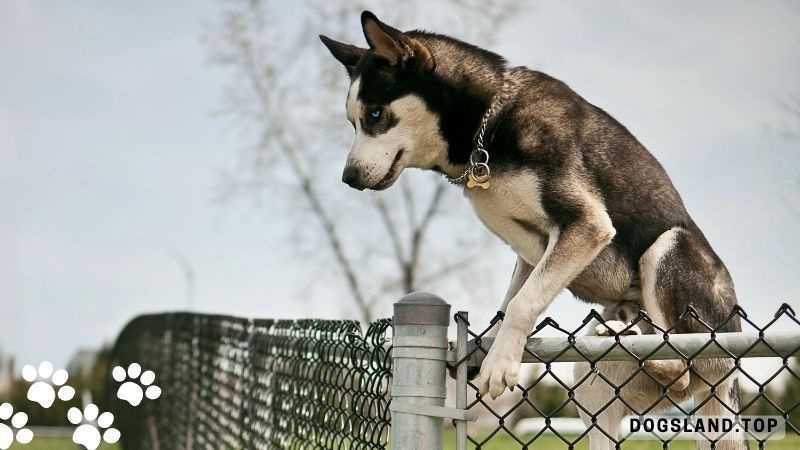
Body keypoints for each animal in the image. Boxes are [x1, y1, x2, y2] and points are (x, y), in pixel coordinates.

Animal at [324, 11, 744, 450]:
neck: (489, 125)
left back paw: (624, 335)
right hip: (593, 384)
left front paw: (500, 363)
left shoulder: (586, 223)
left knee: (680, 365)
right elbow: (509, 301)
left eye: (375, 115)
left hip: (670, 250)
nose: (348, 177)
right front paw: (483, 347)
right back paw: (620, 333)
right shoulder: (532, 251)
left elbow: (523, 304)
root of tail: (728, 374)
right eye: (353, 122)